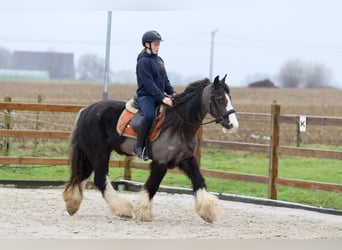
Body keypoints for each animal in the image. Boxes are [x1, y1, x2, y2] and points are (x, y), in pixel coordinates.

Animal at [62, 74, 238, 223]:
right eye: (220, 98)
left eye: (229, 98)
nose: (233, 125)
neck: (178, 126)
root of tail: (85, 110)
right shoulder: (160, 162)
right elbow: (152, 185)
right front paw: (144, 212)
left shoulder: (187, 159)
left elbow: (199, 181)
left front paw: (207, 211)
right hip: (100, 153)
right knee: (100, 179)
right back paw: (122, 209)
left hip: (90, 154)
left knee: (81, 176)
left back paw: (72, 204)